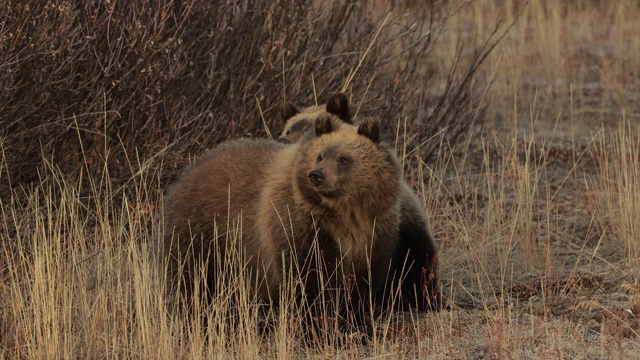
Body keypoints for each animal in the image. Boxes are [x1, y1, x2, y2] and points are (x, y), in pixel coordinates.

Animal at [161, 112, 400, 326]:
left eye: (343, 159)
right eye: (320, 155)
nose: (317, 175)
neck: (344, 212)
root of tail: (185, 174)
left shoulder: (374, 231)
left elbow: (364, 282)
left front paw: (355, 320)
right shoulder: (301, 225)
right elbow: (310, 277)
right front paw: (318, 320)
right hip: (204, 234)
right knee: (197, 284)